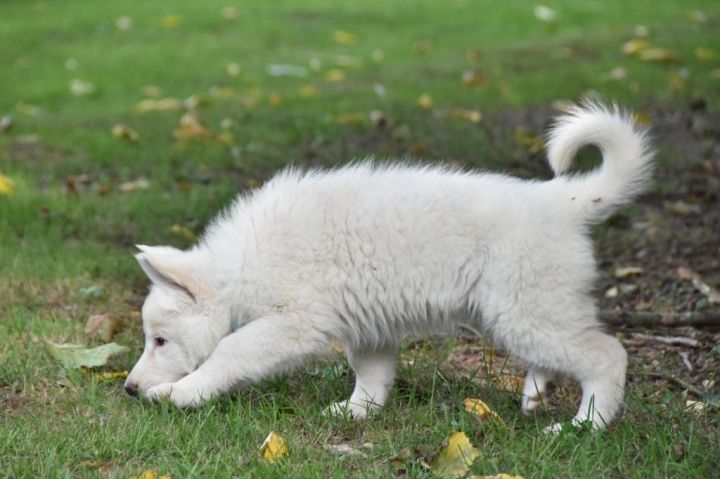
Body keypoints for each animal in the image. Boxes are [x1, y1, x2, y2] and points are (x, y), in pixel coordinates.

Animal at [124, 103, 652, 431]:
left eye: (159, 340)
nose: (128, 390)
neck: (236, 271)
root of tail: (561, 200)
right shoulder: (368, 326)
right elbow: (371, 375)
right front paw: (355, 413)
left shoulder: (293, 324)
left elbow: (229, 351)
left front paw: (181, 394)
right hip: (528, 312)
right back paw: (535, 397)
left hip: (525, 312)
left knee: (607, 355)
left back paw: (584, 427)